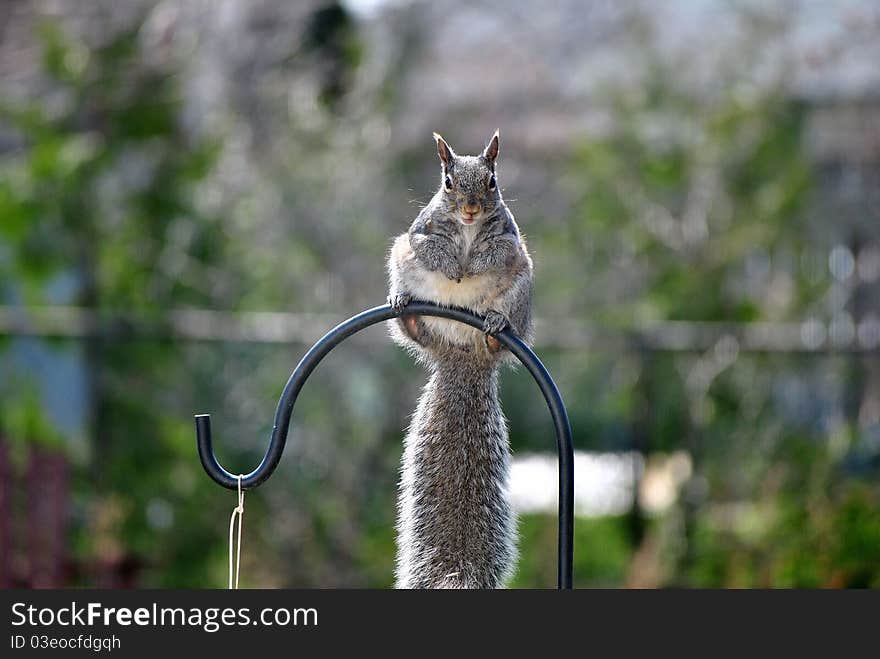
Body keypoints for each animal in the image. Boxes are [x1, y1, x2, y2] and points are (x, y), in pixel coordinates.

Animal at [384, 129, 528, 588]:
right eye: (447, 183)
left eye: (491, 182)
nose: (470, 210)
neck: (466, 234)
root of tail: (461, 354)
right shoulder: (419, 234)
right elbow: (429, 246)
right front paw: (452, 267)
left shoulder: (510, 240)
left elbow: (497, 249)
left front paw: (475, 264)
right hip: (401, 262)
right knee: (415, 330)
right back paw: (406, 312)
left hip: (521, 288)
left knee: (502, 328)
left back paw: (497, 329)